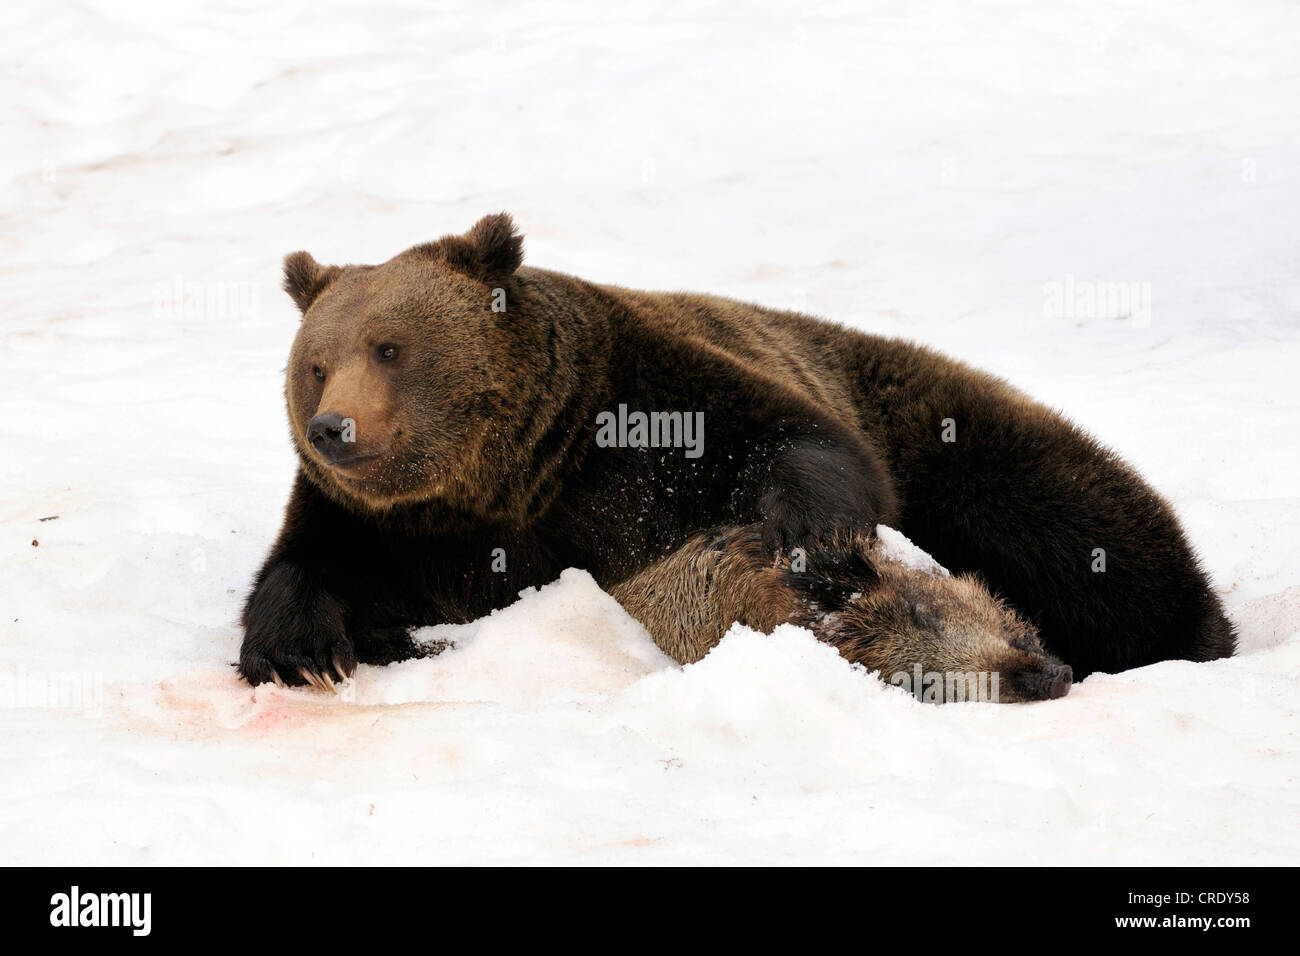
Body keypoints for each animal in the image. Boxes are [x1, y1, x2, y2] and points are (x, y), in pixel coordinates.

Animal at [239, 213, 1232, 697]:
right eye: (316, 363)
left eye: (391, 348)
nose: (334, 428)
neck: (511, 486)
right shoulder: (389, 530)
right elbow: (308, 573)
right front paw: (304, 652)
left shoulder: (640, 410)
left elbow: (795, 443)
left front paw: (814, 530)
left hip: (960, 437)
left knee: (1084, 529)